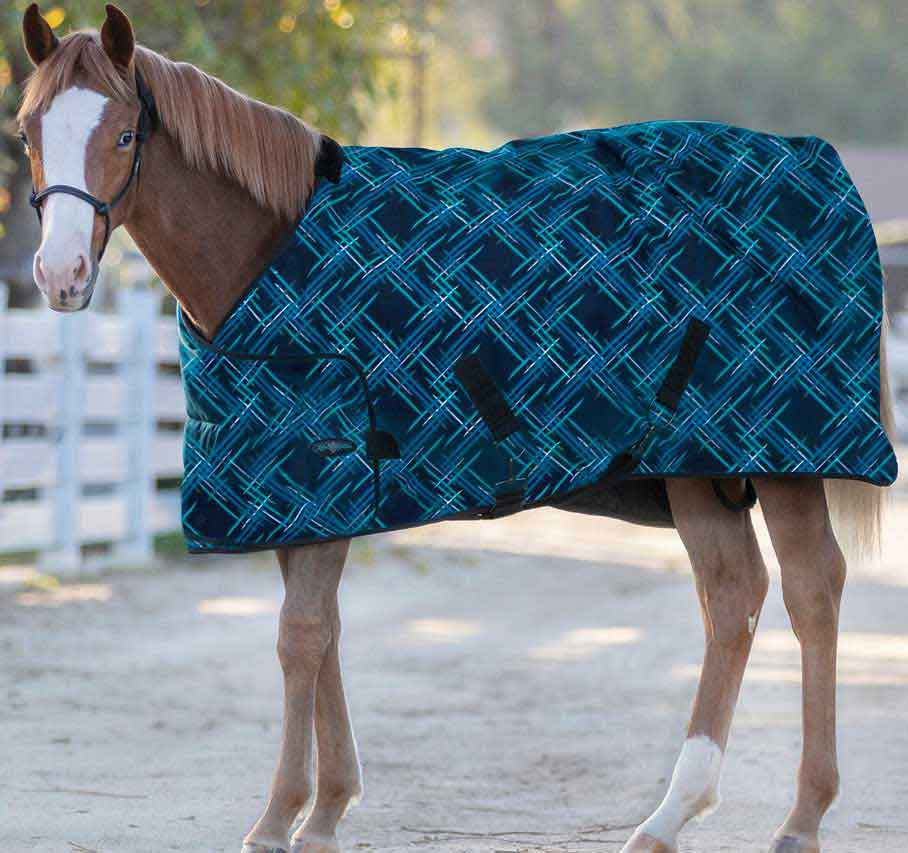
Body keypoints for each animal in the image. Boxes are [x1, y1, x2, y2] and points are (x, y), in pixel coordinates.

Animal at [16, 6, 893, 853]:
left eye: (123, 135)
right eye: (28, 132)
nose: (60, 275)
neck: (269, 253)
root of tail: (830, 169)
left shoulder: (330, 466)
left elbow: (300, 636)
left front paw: (278, 819)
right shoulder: (297, 494)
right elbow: (326, 634)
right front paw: (329, 808)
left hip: (779, 460)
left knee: (812, 589)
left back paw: (802, 816)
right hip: (696, 466)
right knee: (732, 593)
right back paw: (669, 816)